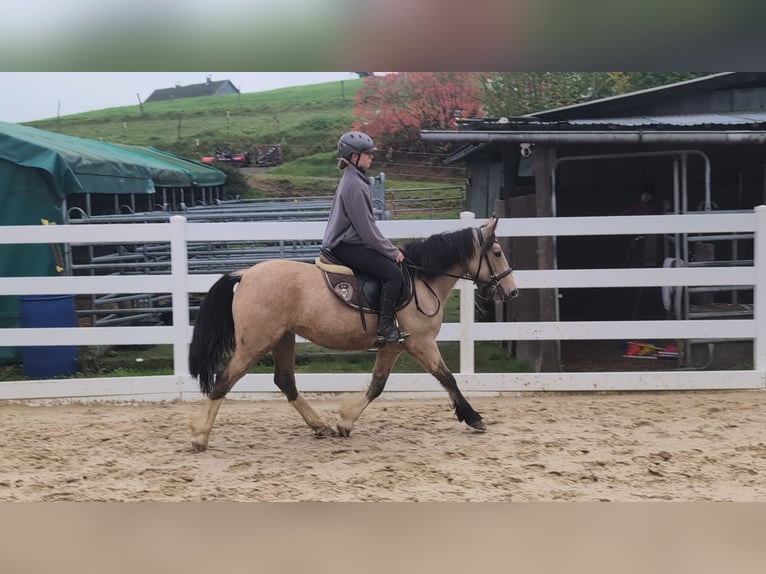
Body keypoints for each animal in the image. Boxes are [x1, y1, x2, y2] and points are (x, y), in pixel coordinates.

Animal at [188, 215, 518, 451]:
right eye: (497, 252)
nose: (512, 292)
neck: (421, 280)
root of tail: (244, 274)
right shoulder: (421, 344)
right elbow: (447, 378)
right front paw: (474, 418)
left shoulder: (392, 347)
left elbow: (377, 385)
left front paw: (344, 422)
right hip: (254, 343)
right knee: (224, 380)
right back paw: (200, 437)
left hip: (282, 339)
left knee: (285, 382)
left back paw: (319, 425)